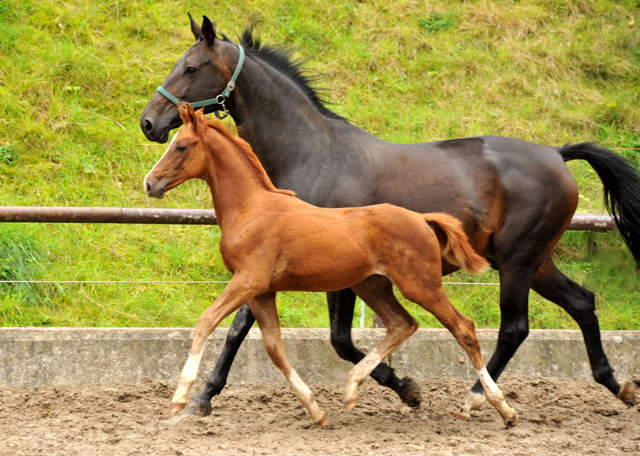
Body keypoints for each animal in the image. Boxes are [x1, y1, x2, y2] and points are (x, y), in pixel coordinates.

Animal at [145, 103, 520, 428]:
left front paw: (181, 397)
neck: (251, 207)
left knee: (464, 329)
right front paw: (315, 410)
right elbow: (274, 349)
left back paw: (500, 408)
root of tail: (423, 219)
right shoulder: (263, 292)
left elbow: (205, 322)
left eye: (181, 146)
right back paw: (354, 387)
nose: (150, 183)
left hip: (421, 285)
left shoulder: (248, 281)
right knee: (403, 324)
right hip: (372, 285)